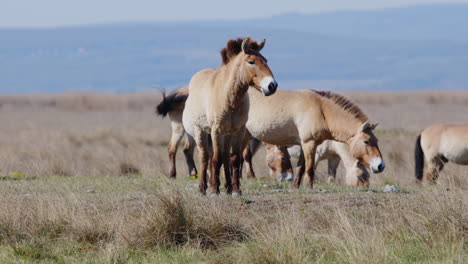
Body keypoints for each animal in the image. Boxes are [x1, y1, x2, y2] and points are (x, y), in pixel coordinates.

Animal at [183, 37, 278, 195]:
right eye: (251, 61)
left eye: (266, 60)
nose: (272, 85)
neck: (228, 97)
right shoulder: (216, 131)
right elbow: (215, 159)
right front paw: (214, 189)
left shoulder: (238, 131)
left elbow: (234, 159)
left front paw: (235, 189)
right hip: (200, 132)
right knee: (204, 157)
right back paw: (203, 188)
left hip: (227, 135)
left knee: (226, 157)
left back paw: (227, 186)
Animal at [245, 88, 384, 188]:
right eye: (366, 141)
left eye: (377, 140)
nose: (380, 166)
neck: (322, 110)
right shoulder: (310, 144)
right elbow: (310, 169)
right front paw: (309, 187)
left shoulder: (306, 146)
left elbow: (301, 167)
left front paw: (295, 186)